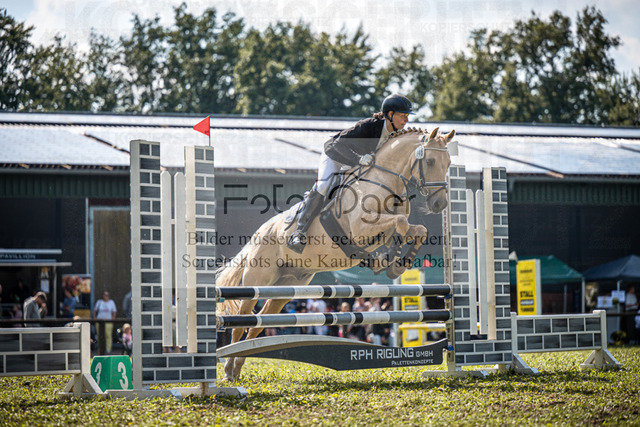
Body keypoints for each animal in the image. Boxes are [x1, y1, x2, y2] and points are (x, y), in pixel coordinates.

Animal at [216, 127, 455, 381]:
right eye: (429, 161)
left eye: (449, 163)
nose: (440, 204)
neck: (383, 182)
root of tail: (258, 234)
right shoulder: (361, 228)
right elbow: (399, 223)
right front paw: (390, 260)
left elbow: (415, 229)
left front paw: (395, 261)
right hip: (258, 280)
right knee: (242, 321)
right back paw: (229, 371)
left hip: (284, 289)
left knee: (258, 323)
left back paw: (238, 365)